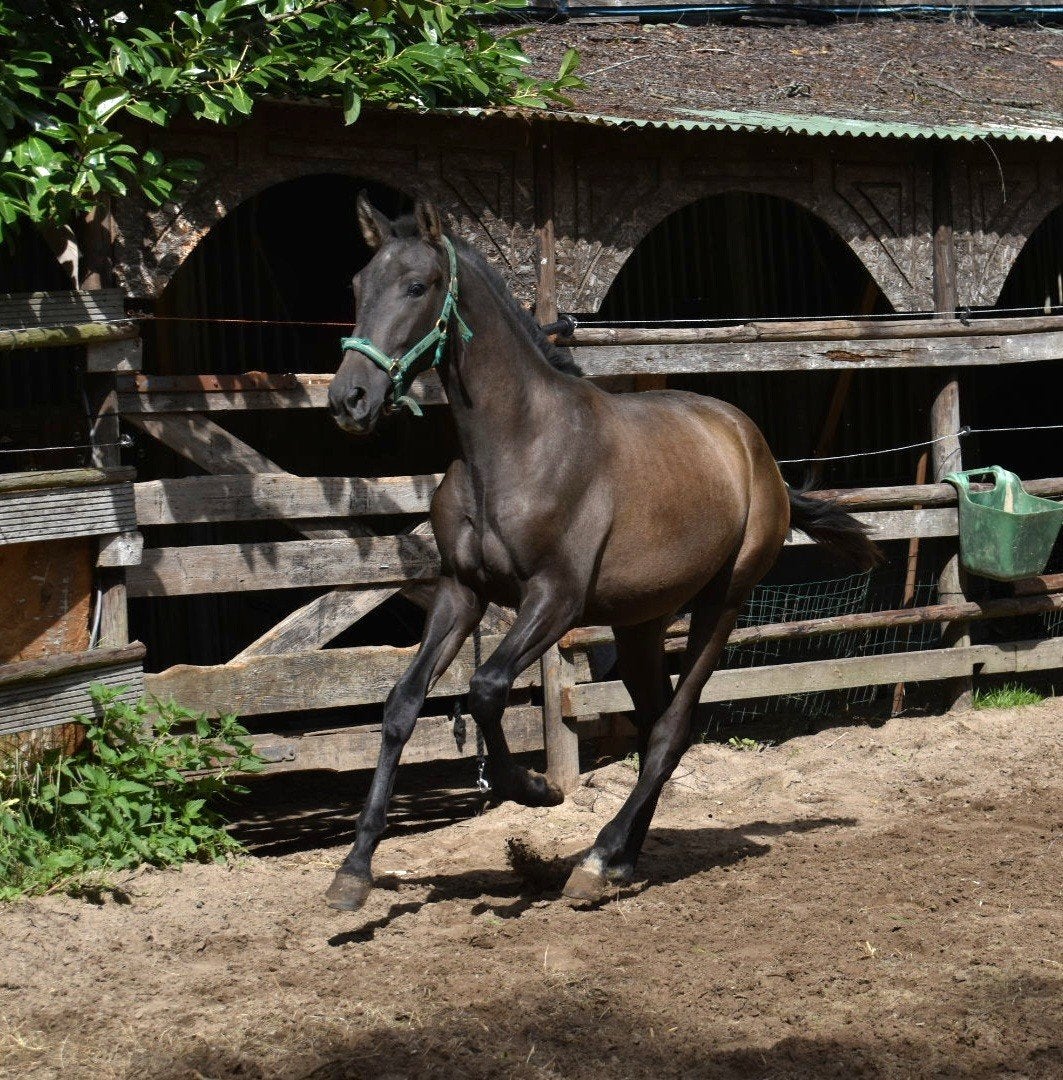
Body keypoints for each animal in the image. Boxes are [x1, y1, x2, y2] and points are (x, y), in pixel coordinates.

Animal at [324, 195, 879, 910]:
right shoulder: (461, 592)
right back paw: (619, 860)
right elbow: (402, 705)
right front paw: (353, 871)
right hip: (640, 622)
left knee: (671, 729)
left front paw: (536, 790)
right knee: (652, 724)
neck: (517, 447)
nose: (349, 400)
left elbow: (486, 688)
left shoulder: (556, 599)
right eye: (357, 286)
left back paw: (596, 859)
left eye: (418, 286)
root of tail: (758, 453)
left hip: (724, 603)